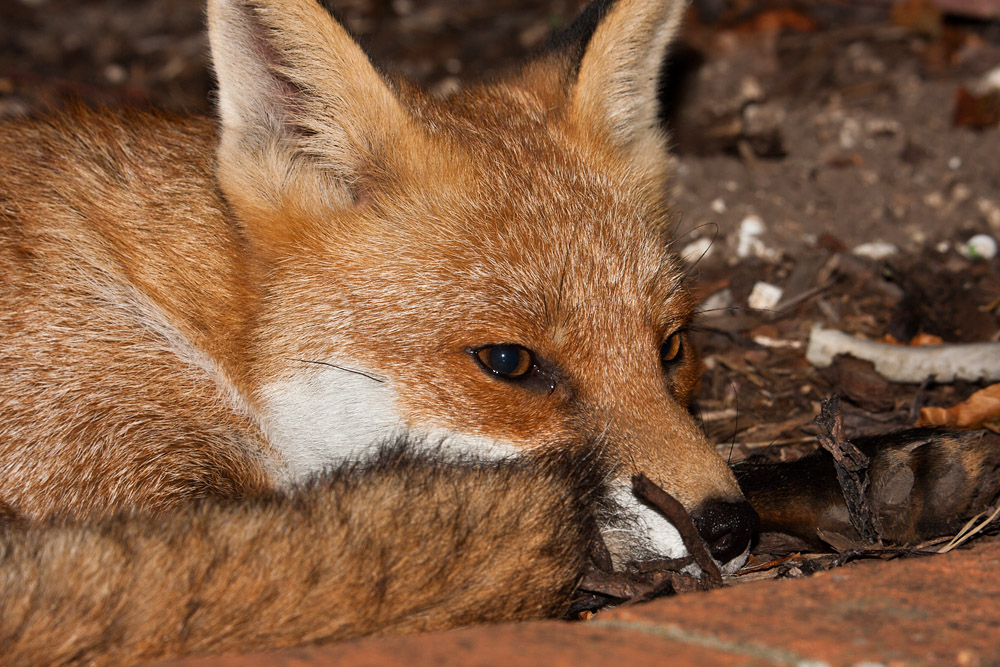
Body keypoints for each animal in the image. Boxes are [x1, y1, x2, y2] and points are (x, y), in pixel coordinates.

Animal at [0, 0, 998, 664]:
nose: (729, 533)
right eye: (509, 362)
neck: (205, 316)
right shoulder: (128, 474)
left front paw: (893, 478)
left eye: (670, 347)